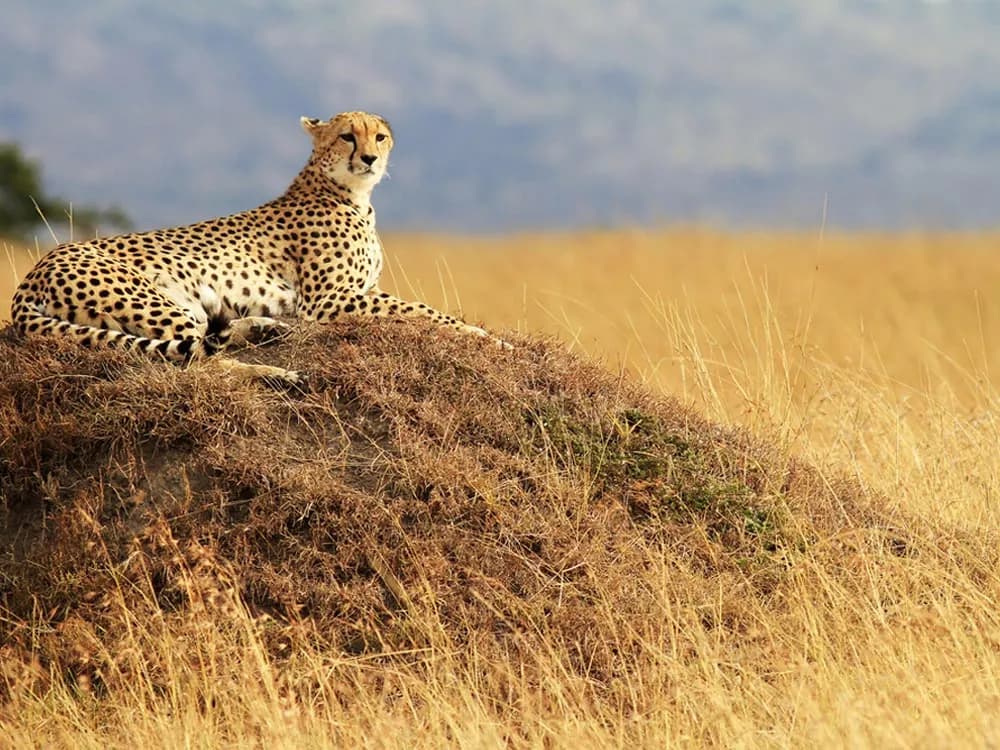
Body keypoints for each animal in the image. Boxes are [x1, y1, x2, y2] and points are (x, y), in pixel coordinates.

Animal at [11, 111, 501, 384]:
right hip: (156, 301)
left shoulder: (348, 294)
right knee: (194, 361)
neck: (351, 194)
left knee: (206, 342)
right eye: (347, 136)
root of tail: (33, 272)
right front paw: (486, 337)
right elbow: (420, 309)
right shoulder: (328, 301)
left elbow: (416, 308)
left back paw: (264, 331)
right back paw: (278, 373)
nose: (370, 158)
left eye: (378, 136)